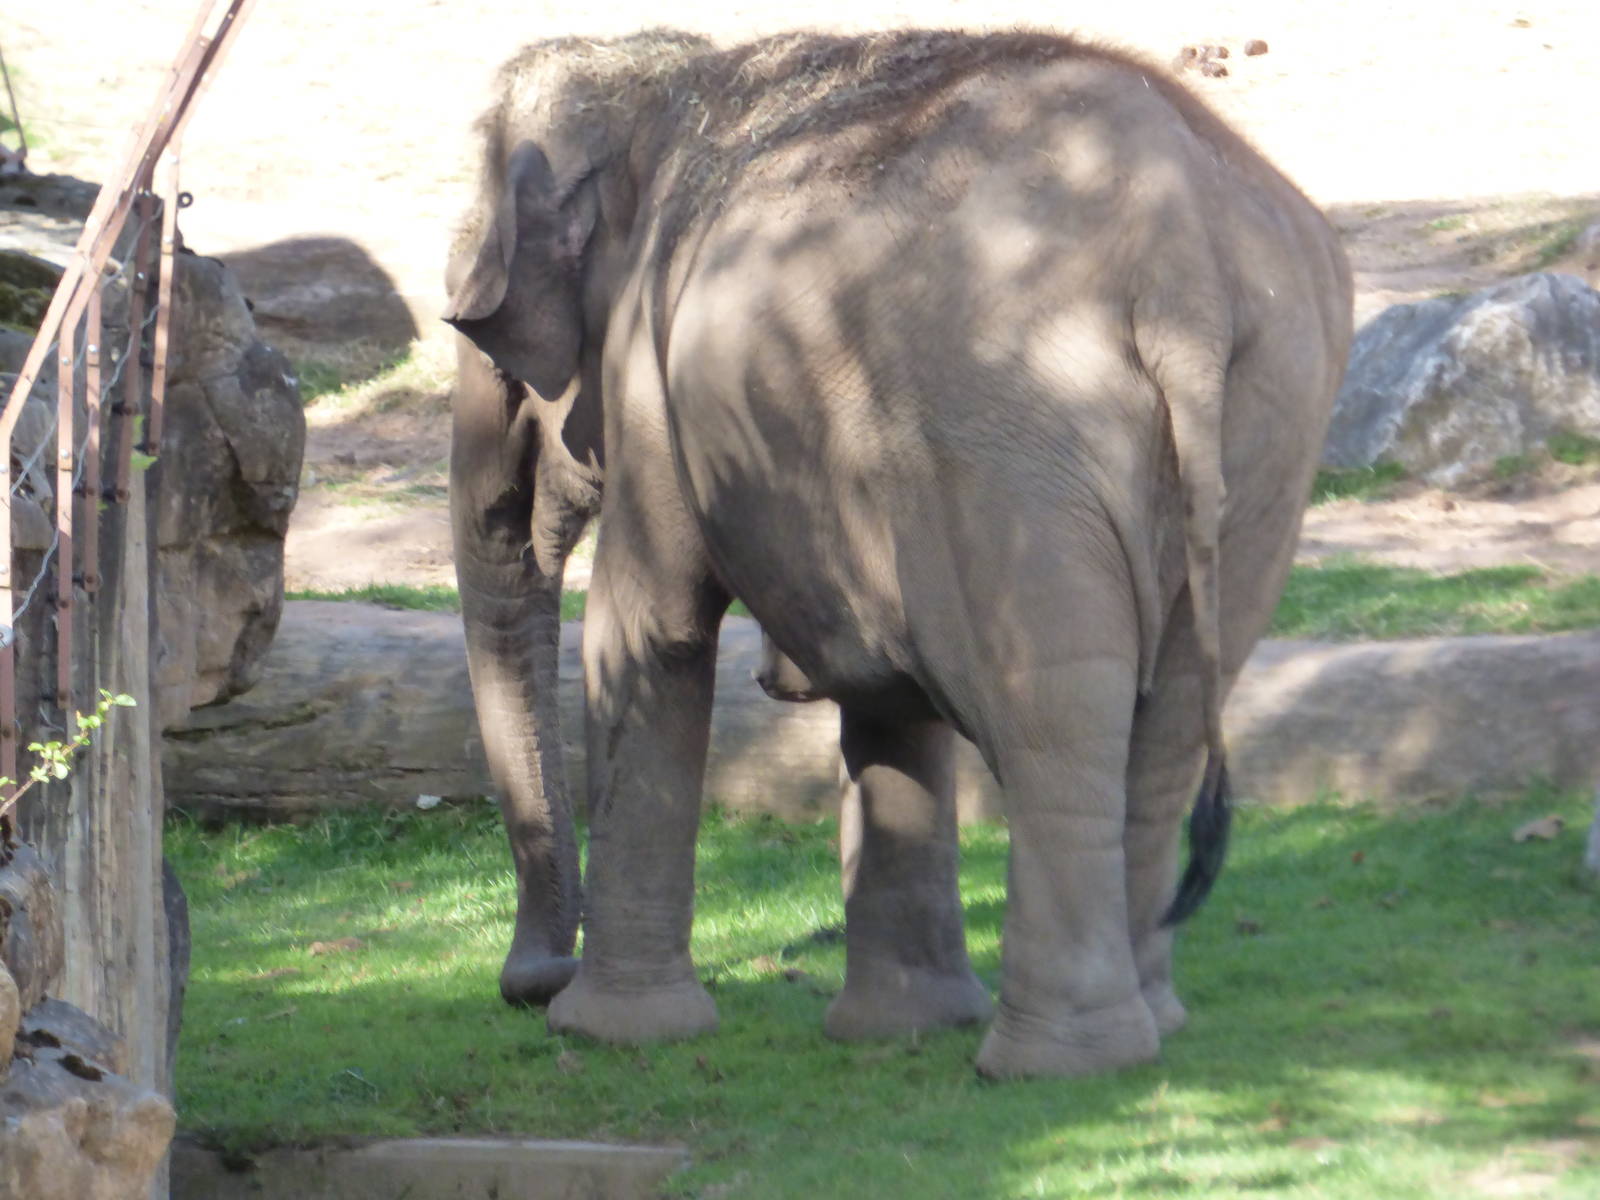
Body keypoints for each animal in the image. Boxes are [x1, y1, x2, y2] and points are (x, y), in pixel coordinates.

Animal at [443, 28, 1352, 1078]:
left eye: (491, 348)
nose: (528, 983)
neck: (663, 88)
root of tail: (1186, 263)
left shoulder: (648, 376)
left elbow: (648, 633)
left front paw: (607, 1034)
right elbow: (886, 703)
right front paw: (899, 1031)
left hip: (1014, 443)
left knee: (1050, 719)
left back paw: (1052, 1063)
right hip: (1271, 429)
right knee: (1166, 726)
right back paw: (1145, 1033)